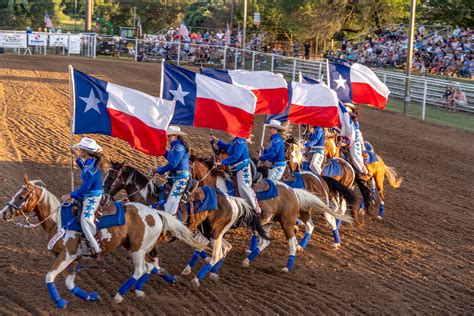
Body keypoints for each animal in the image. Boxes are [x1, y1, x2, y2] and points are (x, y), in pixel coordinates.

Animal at [1, 177, 206, 310]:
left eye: (21, 197)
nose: (3, 213)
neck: (58, 221)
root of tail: (156, 213)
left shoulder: (65, 256)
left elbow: (49, 277)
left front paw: (59, 302)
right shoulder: (72, 259)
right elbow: (69, 284)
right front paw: (91, 296)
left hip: (138, 249)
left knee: (140, 270)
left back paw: (118, 296)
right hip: (136, 247)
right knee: (149, 267)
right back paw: (142, 290)